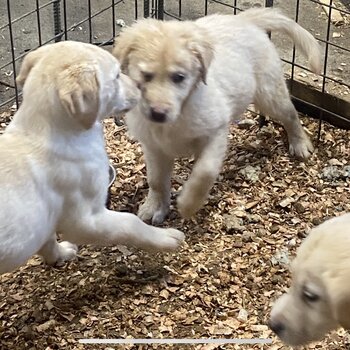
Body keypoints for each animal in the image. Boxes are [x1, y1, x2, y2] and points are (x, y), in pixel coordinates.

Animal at [0, 41, 185, 274]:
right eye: (116, 75)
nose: (140, 85)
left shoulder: (44, 222)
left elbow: (48, 241)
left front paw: (60, 254)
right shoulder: (86, 221)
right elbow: (130, 223)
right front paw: (165, 238)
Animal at [113, 8, 322, 224]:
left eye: (179, 77)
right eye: (145, 76)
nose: (158, 113)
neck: (179, 115)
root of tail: (244, 19)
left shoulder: (216, 133)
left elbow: (204, 173)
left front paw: (188, 205)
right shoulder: (154, 147)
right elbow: (156, 181)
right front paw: (154, 207)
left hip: (269, 93)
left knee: (291, 115)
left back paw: (300, 144)